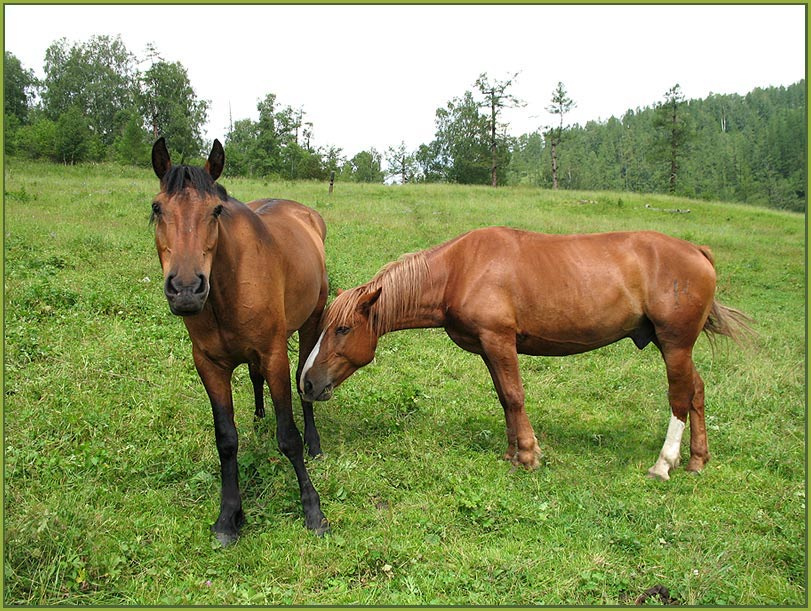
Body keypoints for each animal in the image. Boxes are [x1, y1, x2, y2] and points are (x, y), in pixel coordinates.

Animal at [150, 138, 329, 545]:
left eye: (216, 210)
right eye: (156, 207)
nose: (186, 289)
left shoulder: (274, 355)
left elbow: (288, 436)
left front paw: (312, 510)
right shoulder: (209, 365)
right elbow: (226, 440)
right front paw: (229, 516)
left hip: (311, 322)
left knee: (304, 379)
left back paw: (314, 443)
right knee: (253, 376)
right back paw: (259, 416)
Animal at [300, 227, 751, 479]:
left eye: (342, 329)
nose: (306, 383)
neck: (460, 269)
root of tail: (697, 251)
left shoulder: (499, 340)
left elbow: (515, 396)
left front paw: (529, 456)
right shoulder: (489, 347)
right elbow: (505, 398)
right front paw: (514, 452)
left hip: (674, 345)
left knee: (679, 397)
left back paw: (664, 463)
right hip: (672, 346)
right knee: (696, 392)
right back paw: (697, 460)